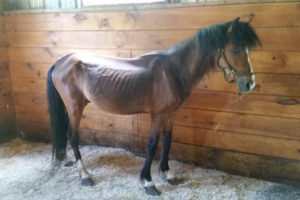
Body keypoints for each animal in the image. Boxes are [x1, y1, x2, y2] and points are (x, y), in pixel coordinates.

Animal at [47, 16, 260, 195]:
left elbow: (167, 142)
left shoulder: (170, 115)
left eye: (248, 50)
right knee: (73, 137)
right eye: (235, 49)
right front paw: (148, 182)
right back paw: (84, 175)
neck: (173, 71)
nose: (249, 84)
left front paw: (168, 174)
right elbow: (152, 145)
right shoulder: (157, 115)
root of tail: (61, 61)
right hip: (75, 108)